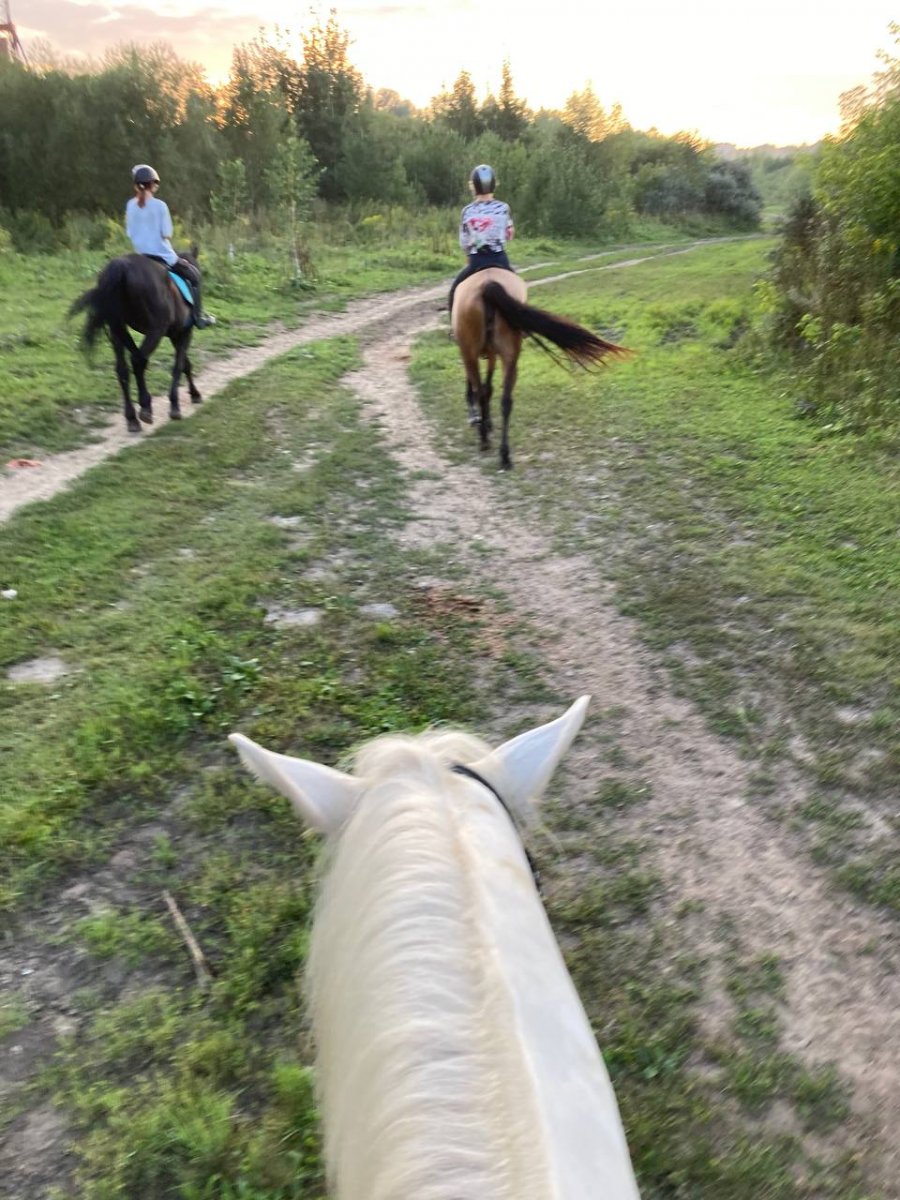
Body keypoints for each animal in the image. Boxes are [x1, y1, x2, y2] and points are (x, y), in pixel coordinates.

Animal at [70, 250, 204, 434]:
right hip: (155, 331)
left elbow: (184, 364)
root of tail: (121, 267)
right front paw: (177, 404)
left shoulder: (175, 334)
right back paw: (145, 408)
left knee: (123, 369)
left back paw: (132, 417)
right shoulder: (184, 333)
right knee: (138, 361)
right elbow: (179, 365)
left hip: (117, 330)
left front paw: (193, 394)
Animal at [453, 270, 628, 470]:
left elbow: (482, 388)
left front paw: (479, 418)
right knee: (505, 401)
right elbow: (488, 388)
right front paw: (485, 421)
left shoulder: (479, 354)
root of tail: (487, 285)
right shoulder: (491, 354)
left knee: (483, 393)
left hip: (472, 352)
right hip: (508, 355)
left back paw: (484, 440)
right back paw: (504, 455)